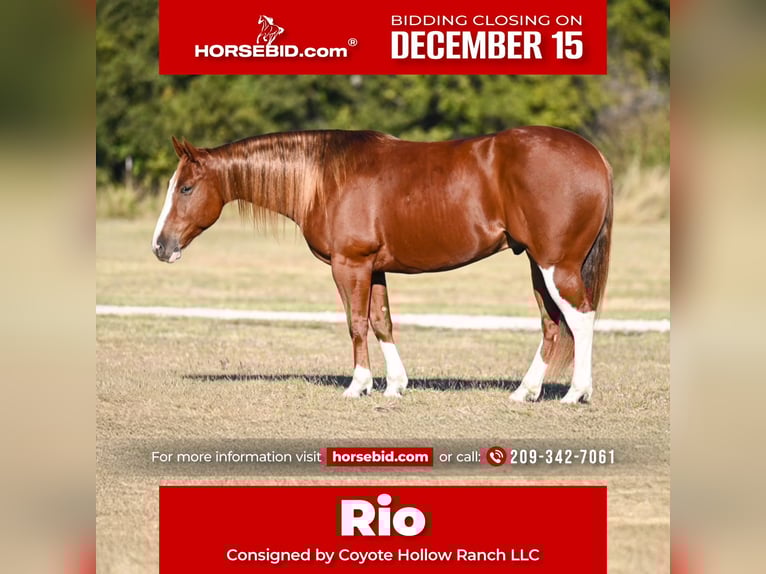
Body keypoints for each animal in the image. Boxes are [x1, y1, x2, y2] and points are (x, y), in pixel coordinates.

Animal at [152, 128, 612, 404]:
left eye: (186, 188)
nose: (160, 247)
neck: (325, 178)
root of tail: (595, 156)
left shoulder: (349, 265)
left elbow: (356, 323)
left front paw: (359, 384)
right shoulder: (374, 268)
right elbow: (381, 321)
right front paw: (395, 385)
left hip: (556, 265)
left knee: (581, 317)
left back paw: (576, 393)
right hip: (538, 265)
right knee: (552, 324)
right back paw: (525, 391)